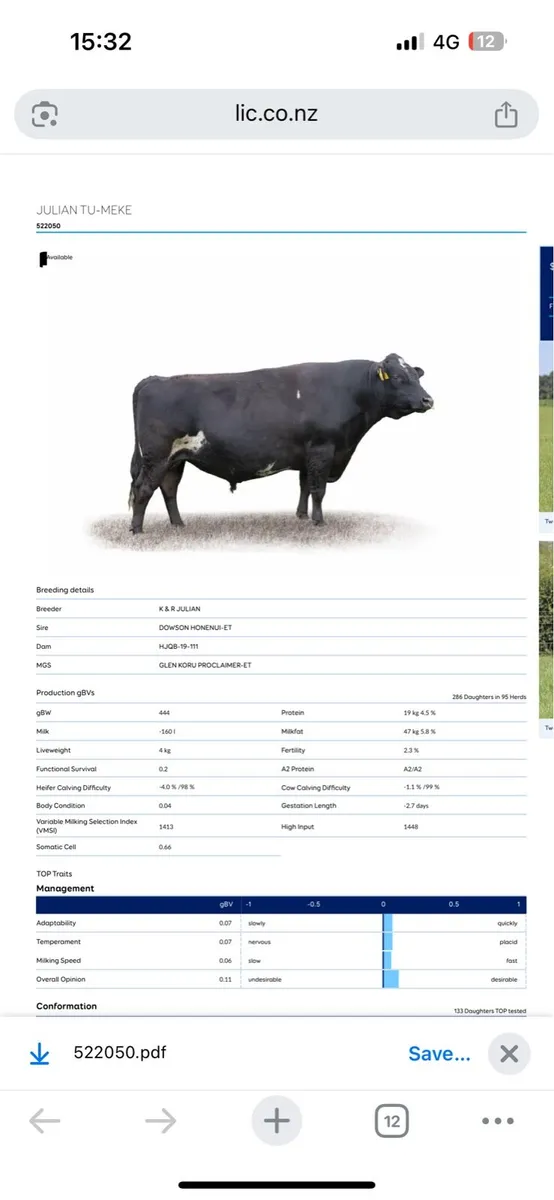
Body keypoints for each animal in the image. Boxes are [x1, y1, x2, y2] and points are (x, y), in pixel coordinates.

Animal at [128, 352, 434, 533]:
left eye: (417, 376)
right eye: (398, 377)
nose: (427, 400)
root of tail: (155, 379)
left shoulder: (308, 454)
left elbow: (304, 486)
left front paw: (301, 517)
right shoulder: (324, 448)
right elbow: (318, 489)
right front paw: (319, 522)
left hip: (175, 459)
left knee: (168, 489)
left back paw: (179, 525)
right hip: (157, 456)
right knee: (143, 489)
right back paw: (138, 531)